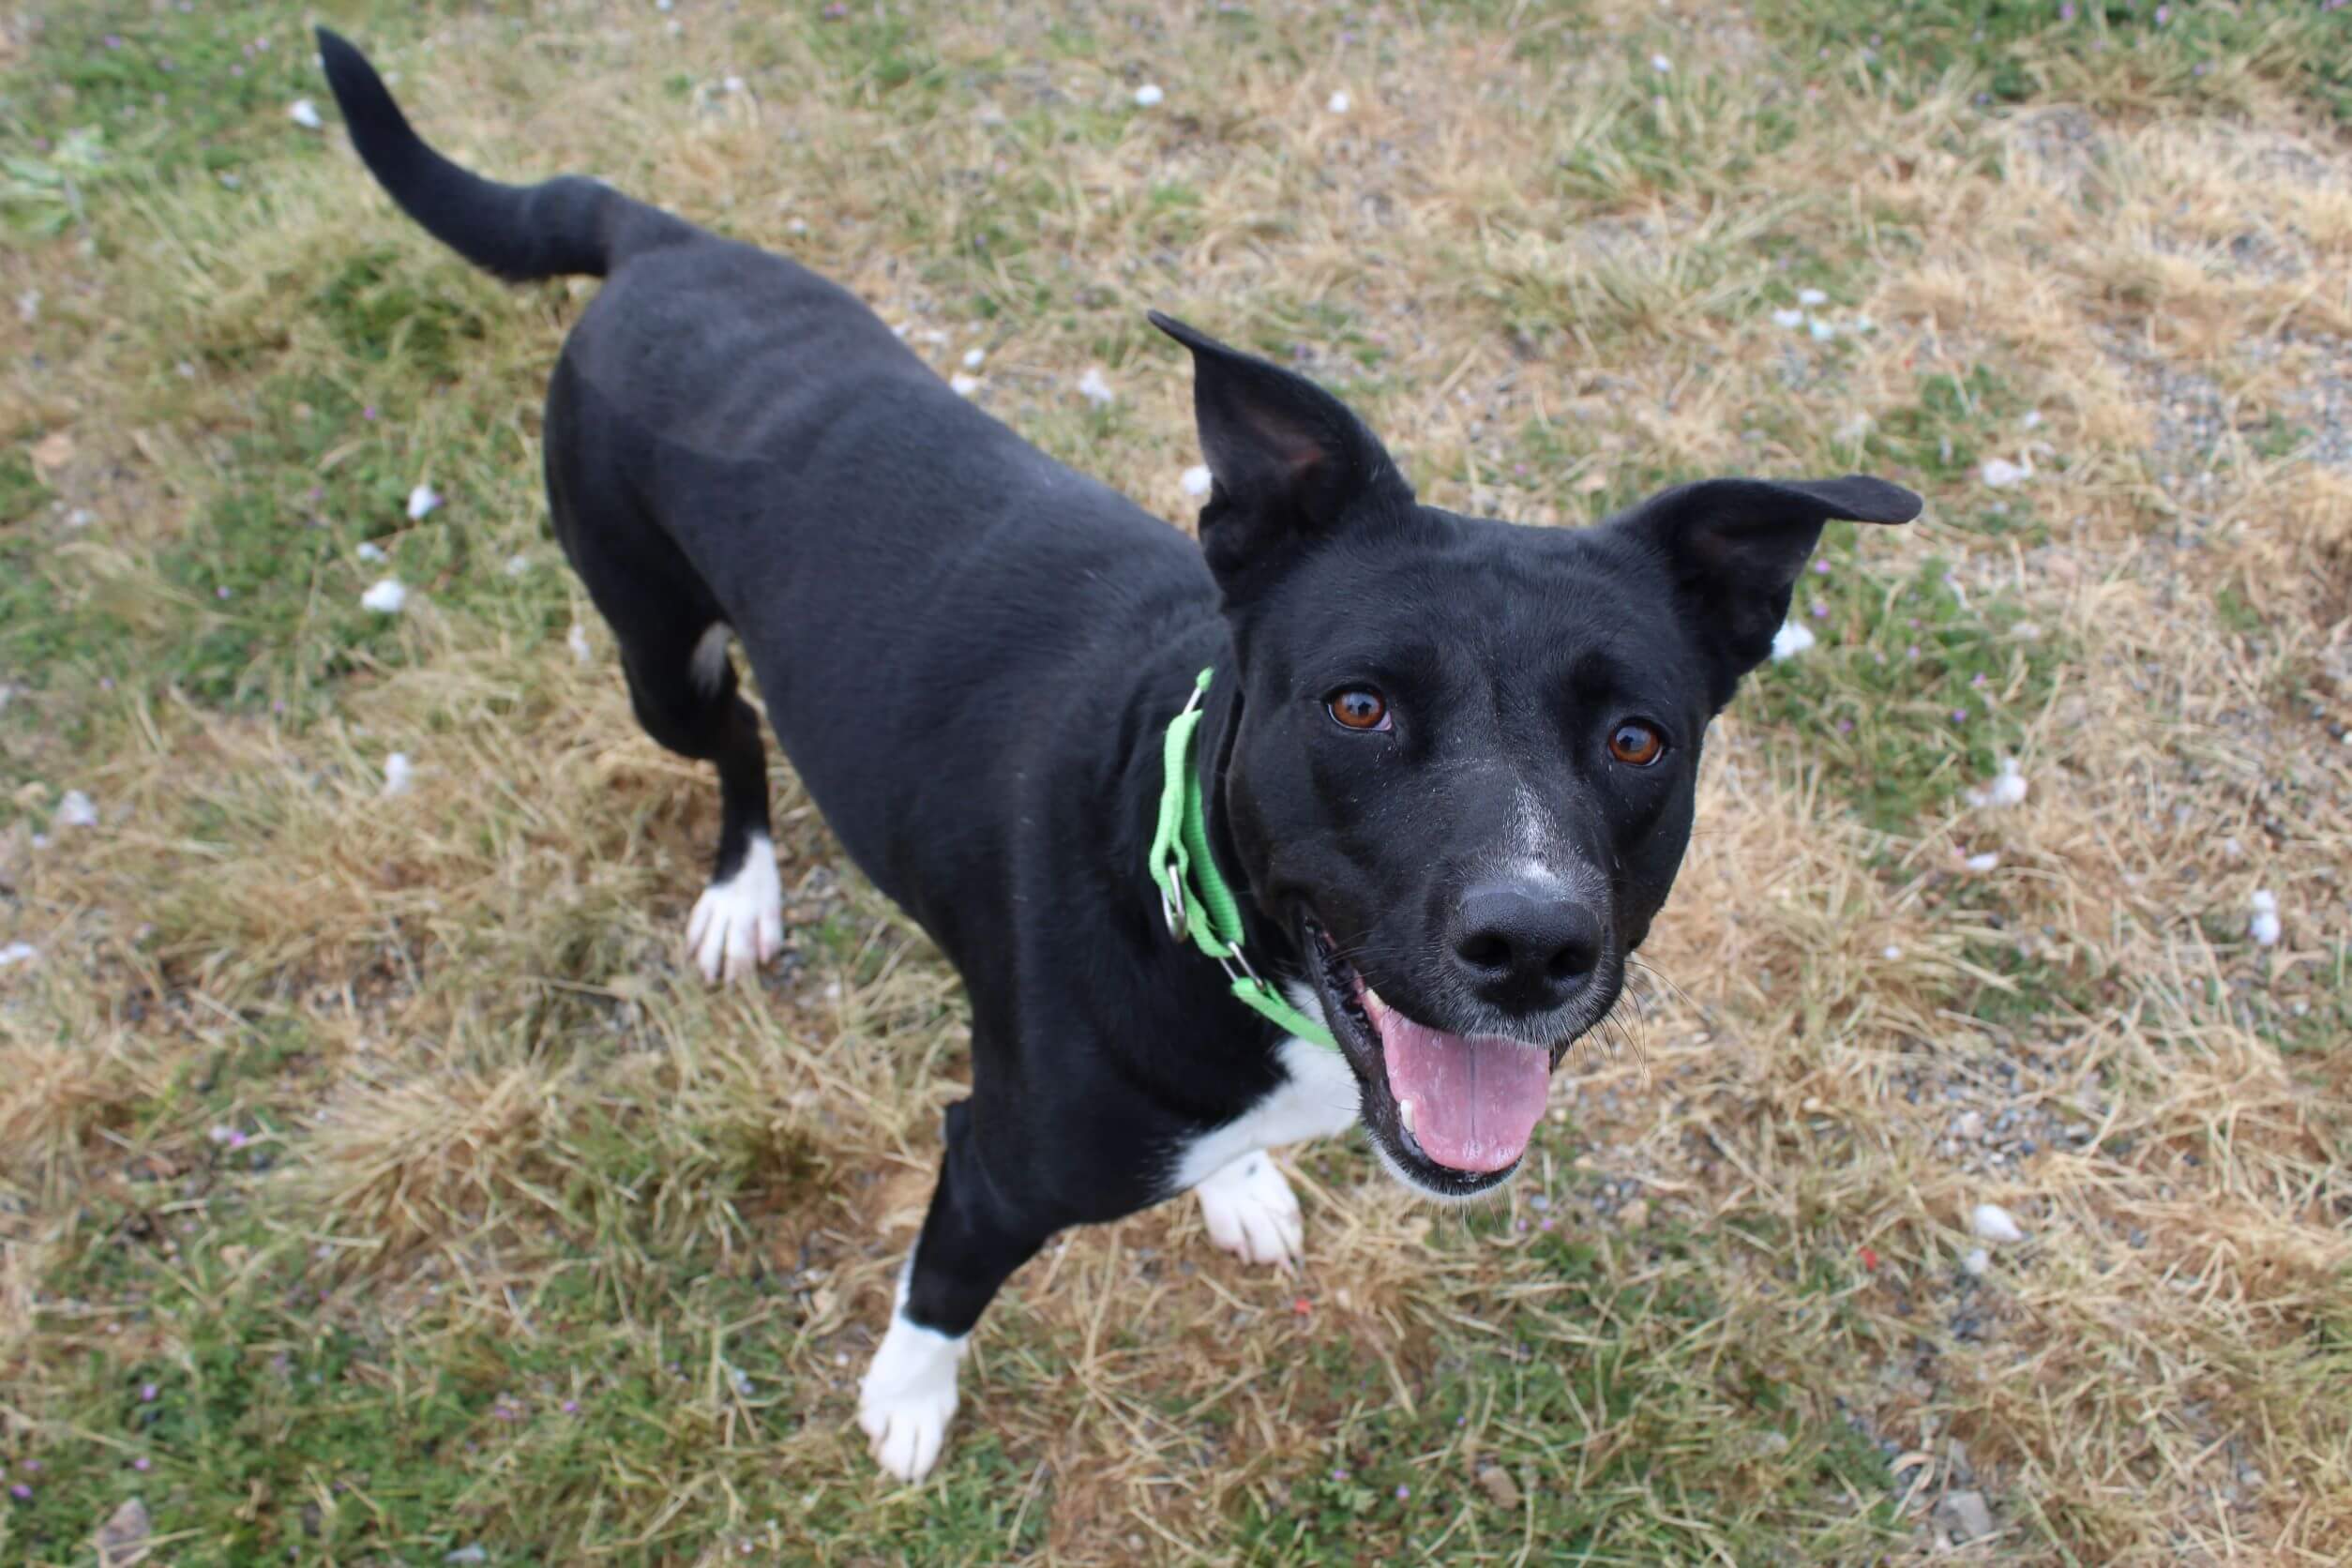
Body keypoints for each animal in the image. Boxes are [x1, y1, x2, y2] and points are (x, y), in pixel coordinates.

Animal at [316, 29, 1920, 1482]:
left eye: (1638, 738)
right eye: (1358, 709)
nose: (1531, 947)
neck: (1211, 914)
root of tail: (661, 238)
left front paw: (1247, 1186)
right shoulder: (997, 1162)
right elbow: (942, 1286)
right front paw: (907, 1404)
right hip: (656, 646)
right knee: (737, 738)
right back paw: (742, 895)